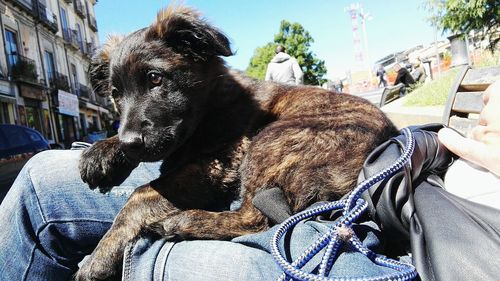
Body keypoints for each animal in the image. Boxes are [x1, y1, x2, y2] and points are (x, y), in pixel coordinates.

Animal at [77, 4, 398, 280]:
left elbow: (142, 193)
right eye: (115, 94)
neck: (210, 107)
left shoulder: (221, 162)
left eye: (155, 78)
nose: (130, 143)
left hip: (270, 141)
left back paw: (185, 221)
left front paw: (100, 255)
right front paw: (102, 153)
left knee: (255, 220)